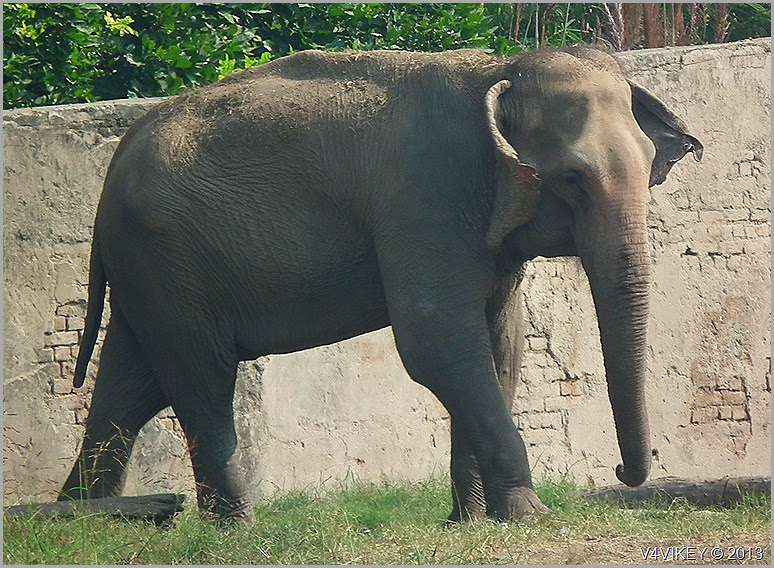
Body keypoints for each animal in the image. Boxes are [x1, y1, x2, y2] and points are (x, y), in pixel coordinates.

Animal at [59, 46, 702, 523]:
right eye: (571, 178)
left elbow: (500, 345)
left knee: (131, 387)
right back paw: (235, 530)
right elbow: (437, 342)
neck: (496, 70)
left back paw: (92, 522)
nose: (623, 471)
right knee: (200, 378)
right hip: (167, 261)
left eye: (649, 164)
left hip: (152, 270)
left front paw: (474, 522)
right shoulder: (425, 196)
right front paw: (530, 516)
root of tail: (109, 176)